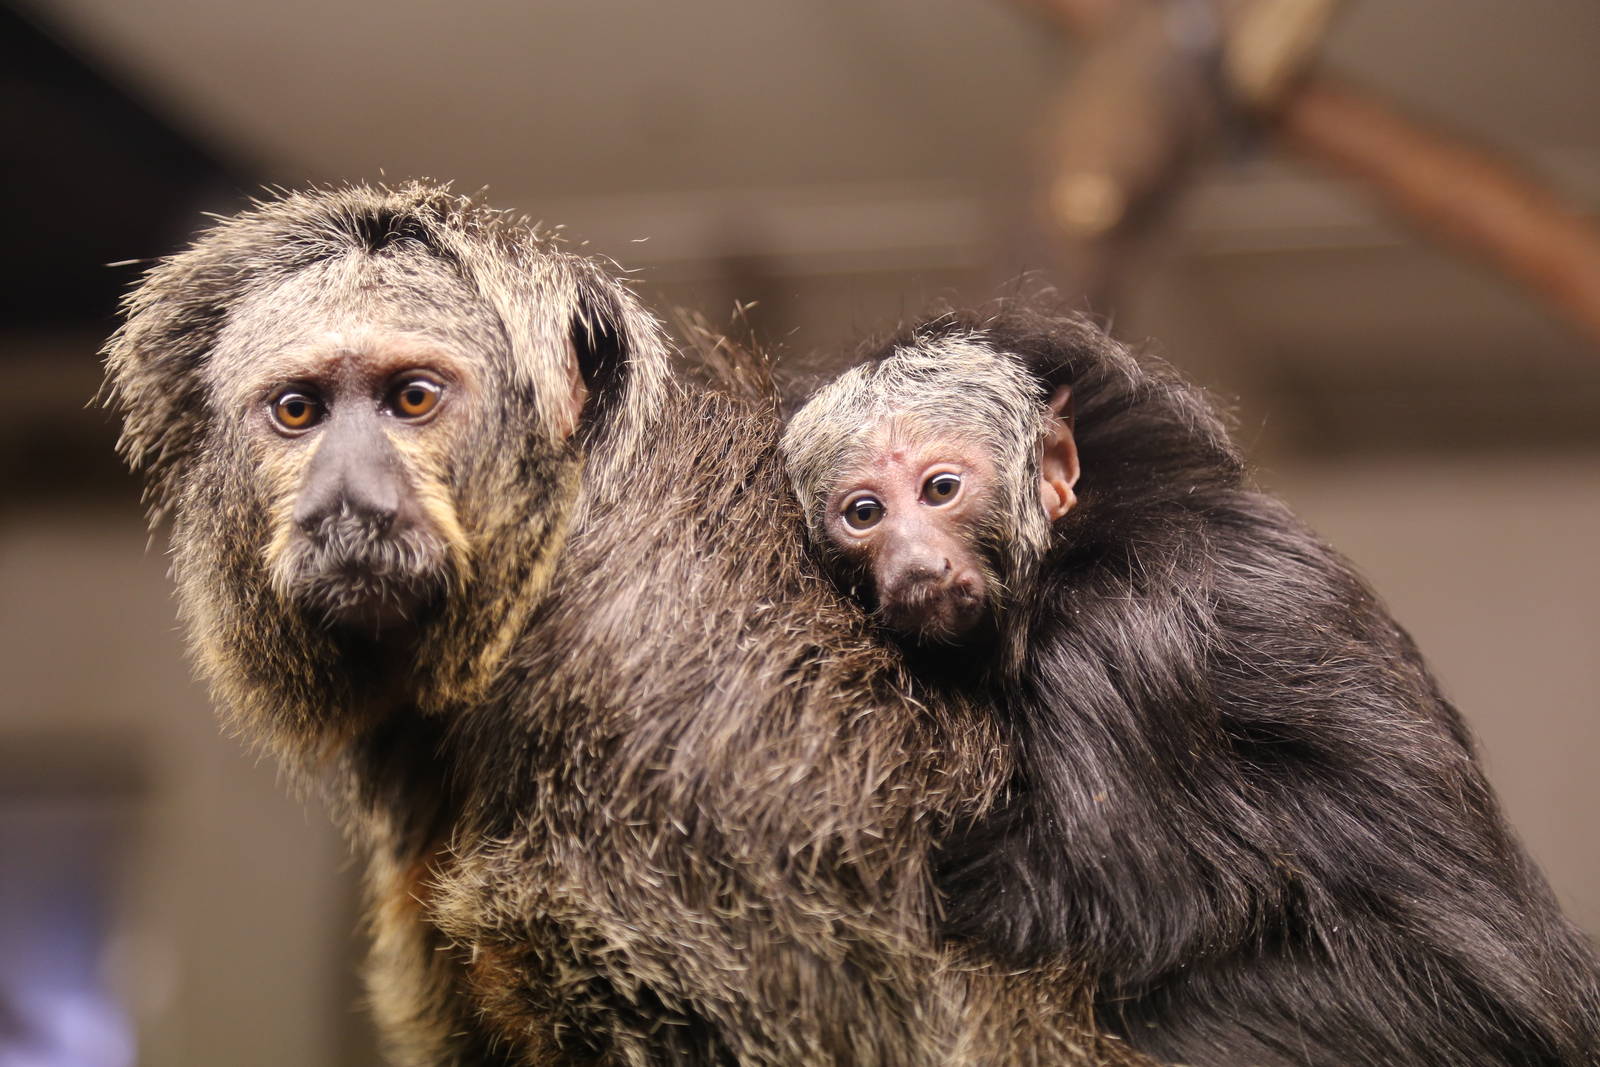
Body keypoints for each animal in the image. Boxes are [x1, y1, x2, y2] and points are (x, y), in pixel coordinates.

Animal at [780, 306, 1600, 1067]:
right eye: (865, 513)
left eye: (940, 489)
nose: (914, 563)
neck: (1079, 544)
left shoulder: (1109, 636)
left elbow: (1125, 895)